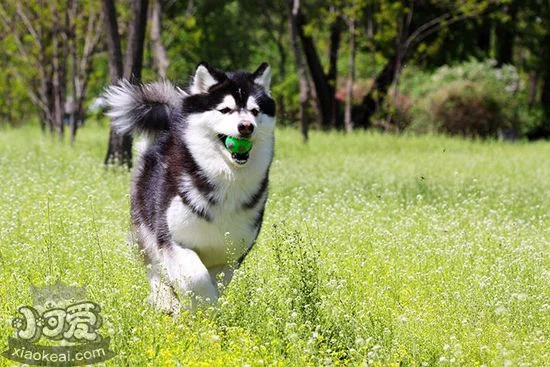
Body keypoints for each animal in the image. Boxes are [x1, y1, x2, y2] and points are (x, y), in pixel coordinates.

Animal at [104, 63, 276, 314]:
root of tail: (167, 129)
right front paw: (199, 309)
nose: (246, 127)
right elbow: (196, 279)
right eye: (225, 109)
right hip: (146, 226)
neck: (227, 181)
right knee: (154, 268)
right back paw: (165, 301)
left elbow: (216, 282)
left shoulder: (229, 256)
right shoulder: (174, 241)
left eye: (255, 111)